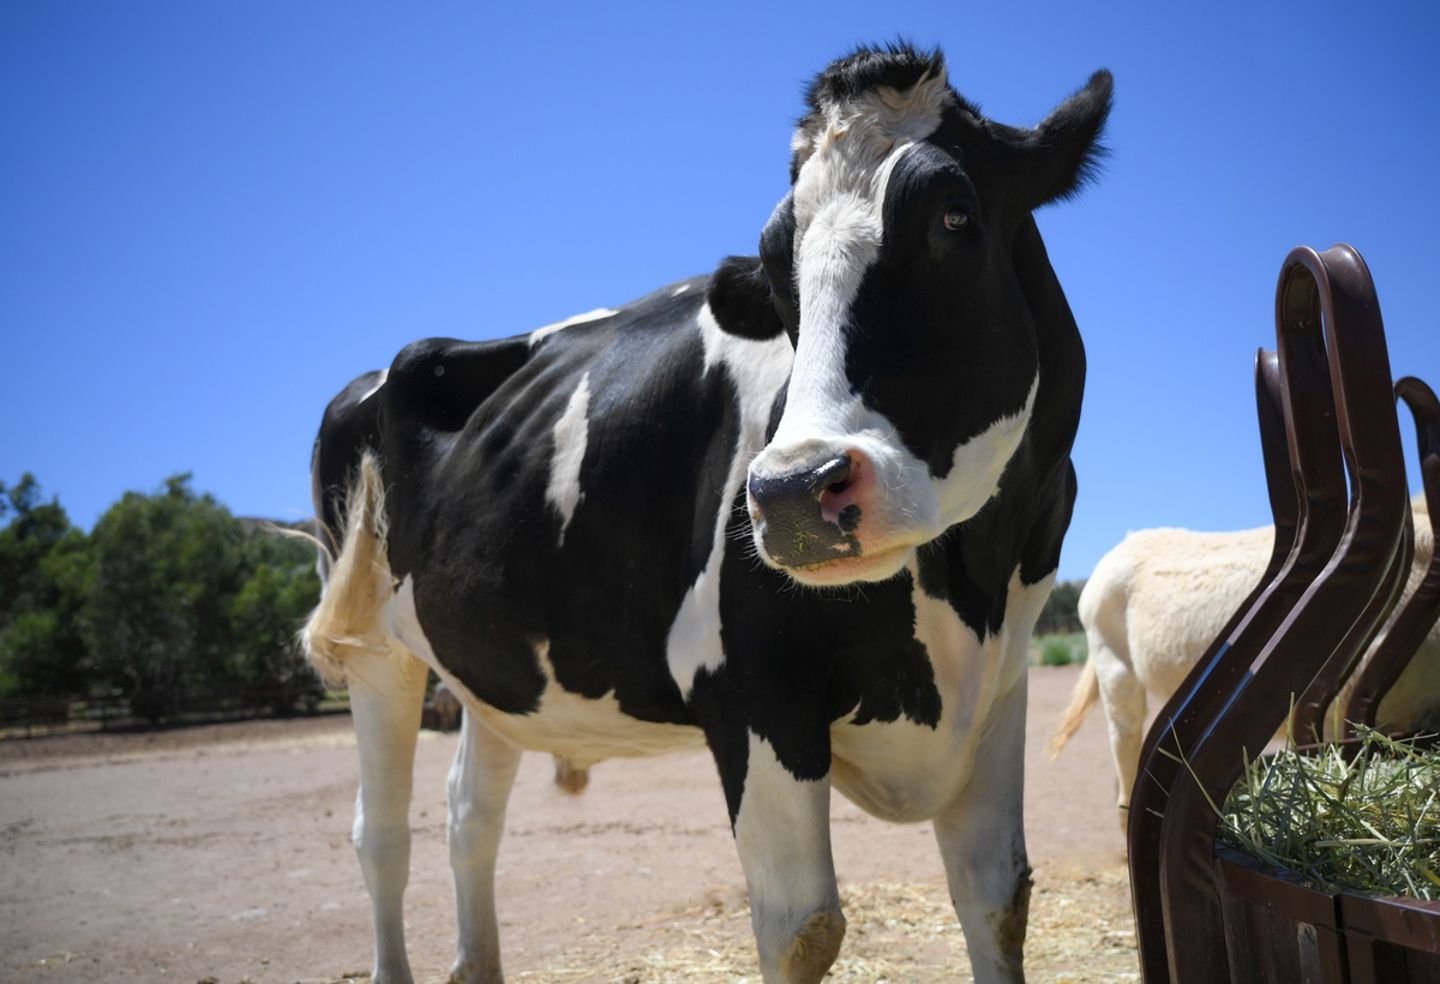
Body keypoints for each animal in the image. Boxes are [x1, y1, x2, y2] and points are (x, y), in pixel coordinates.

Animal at [302, 44, 1110, 984]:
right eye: (775, 262)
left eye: (954, 217)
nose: (795, 492)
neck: (966, 576)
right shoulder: (749, 686)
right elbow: (802, 928)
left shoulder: (1002, 682)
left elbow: (997, 895)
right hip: (374, 646)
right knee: (382, 836)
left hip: (489, 659)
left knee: (471, 816)